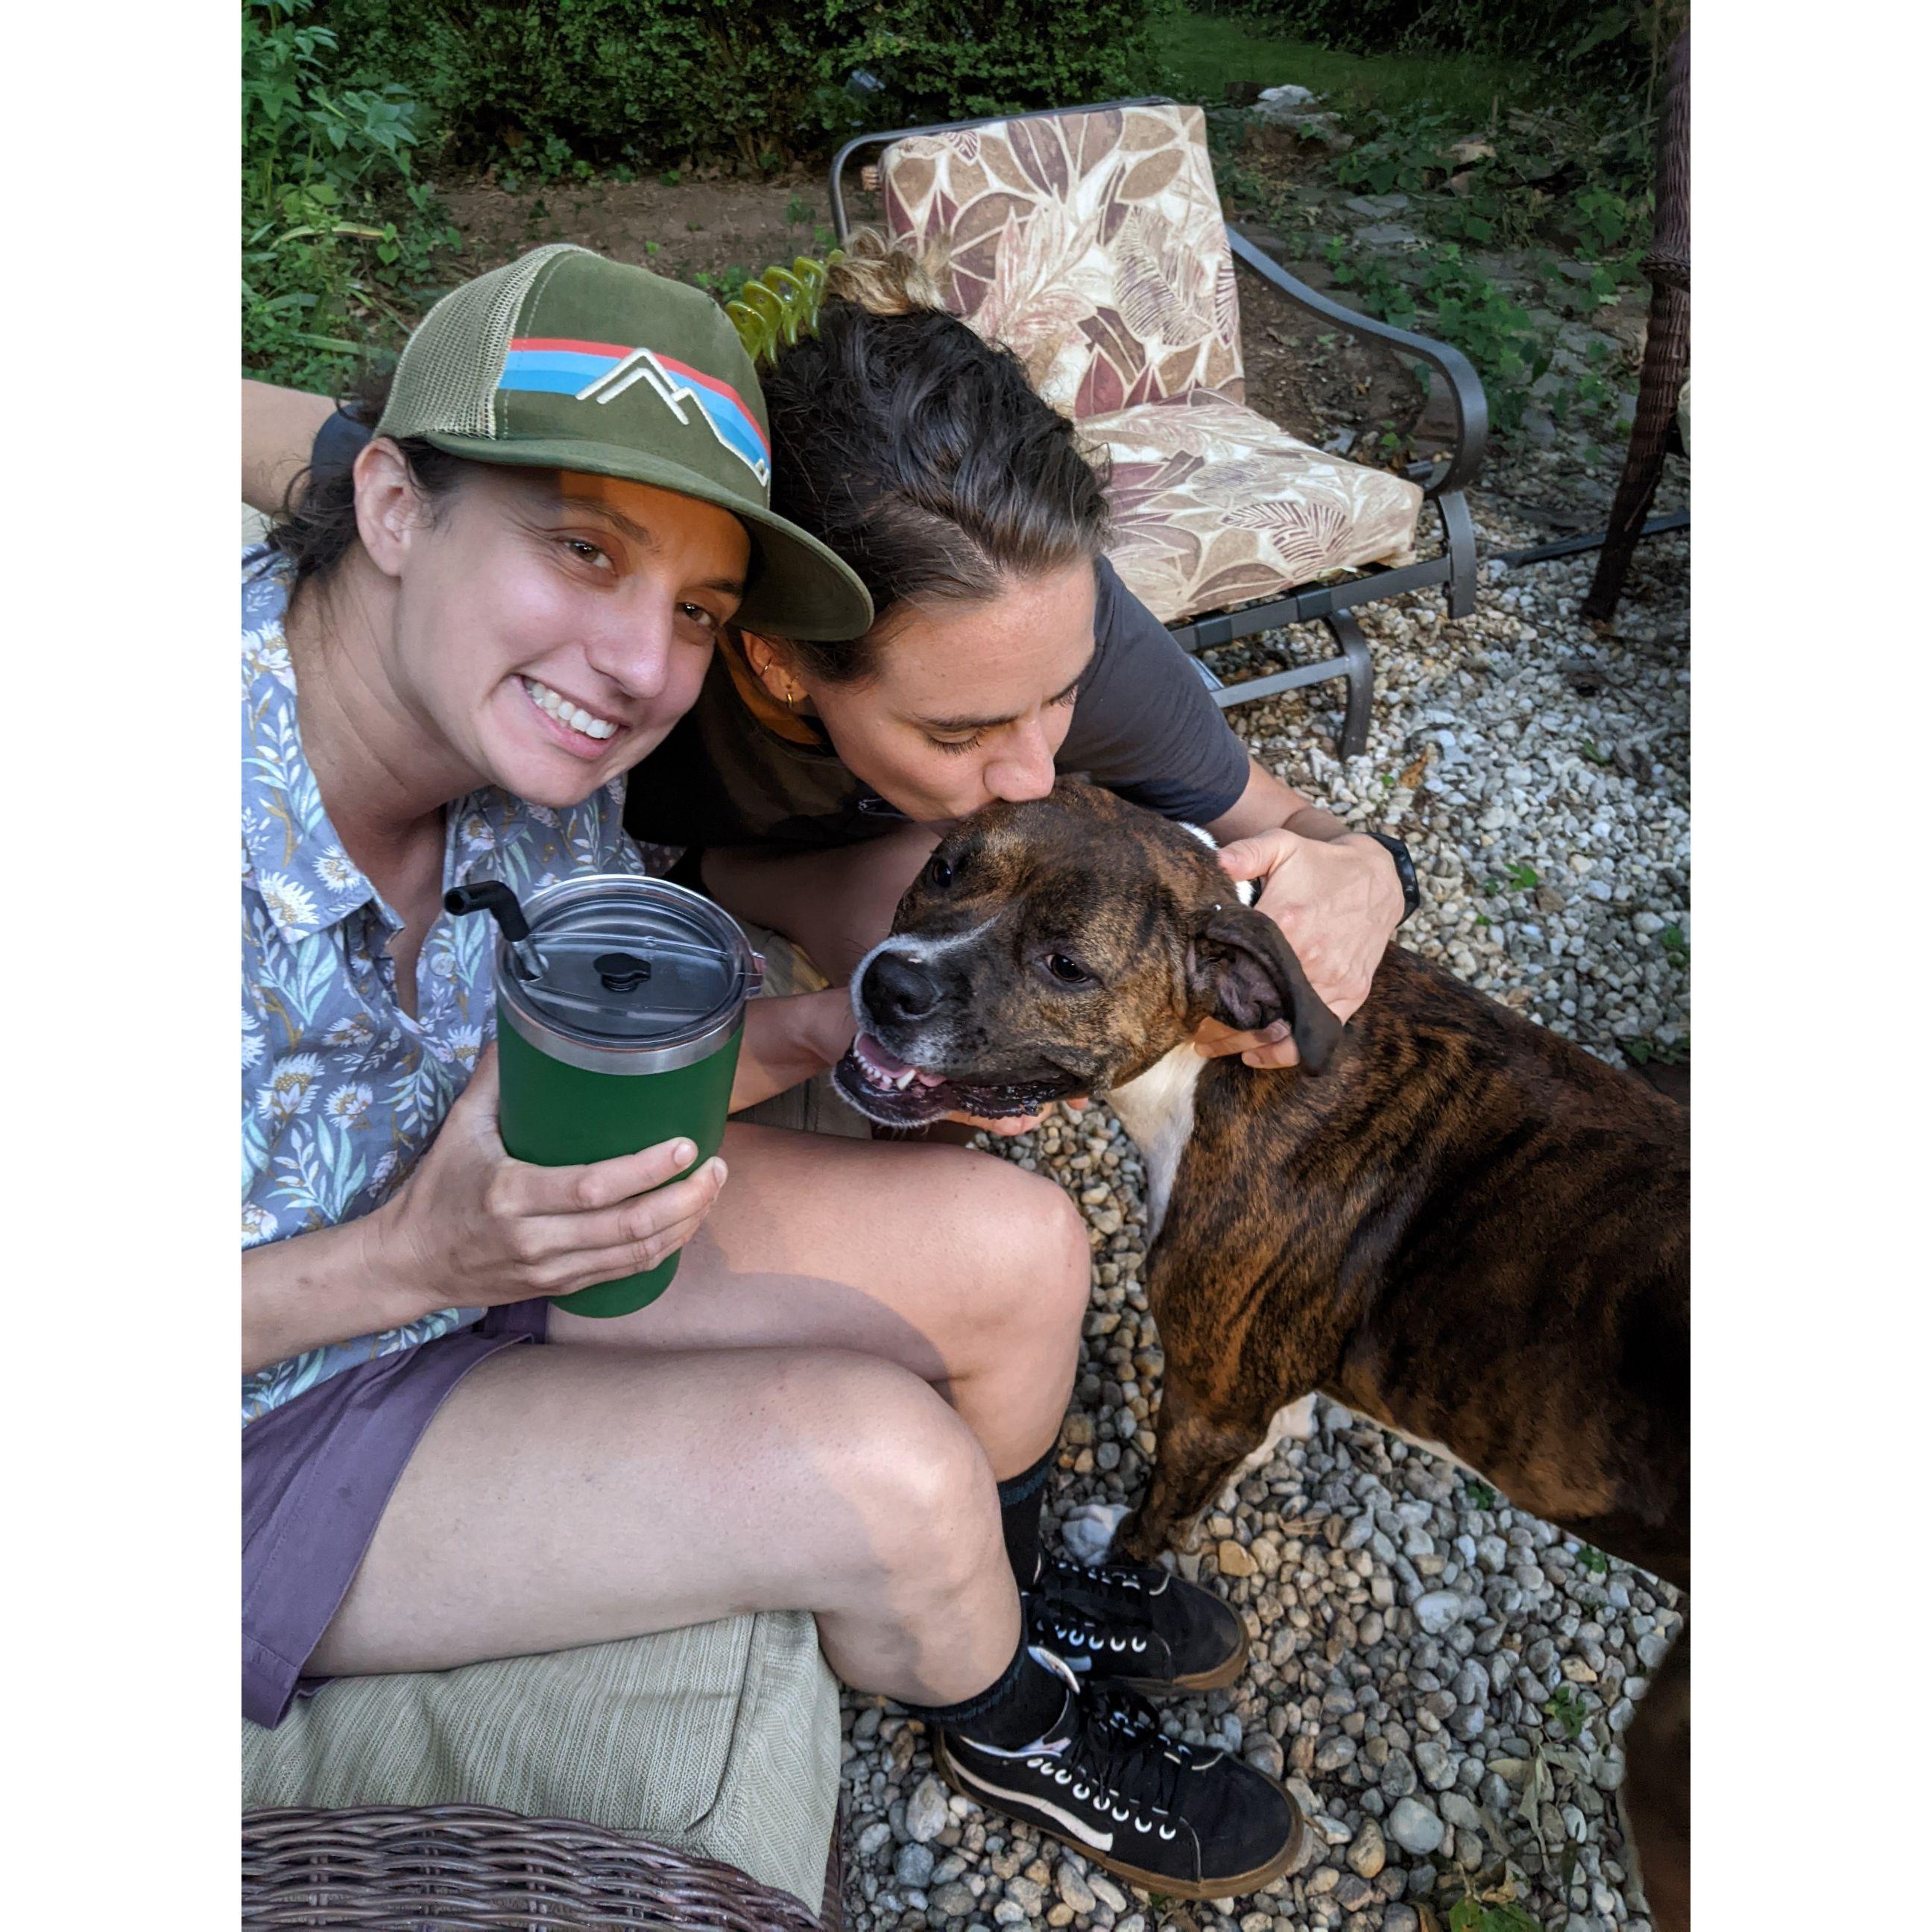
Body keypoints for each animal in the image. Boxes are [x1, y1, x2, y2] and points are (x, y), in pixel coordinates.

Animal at [832, 782, 1688, 1927]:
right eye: (946, 868)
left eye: (1068, 966)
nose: (893, 981)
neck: (1218, 1053)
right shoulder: (1248, 1392)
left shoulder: (1205, 1398)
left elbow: (1157, 1519)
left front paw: (1119, 1574)